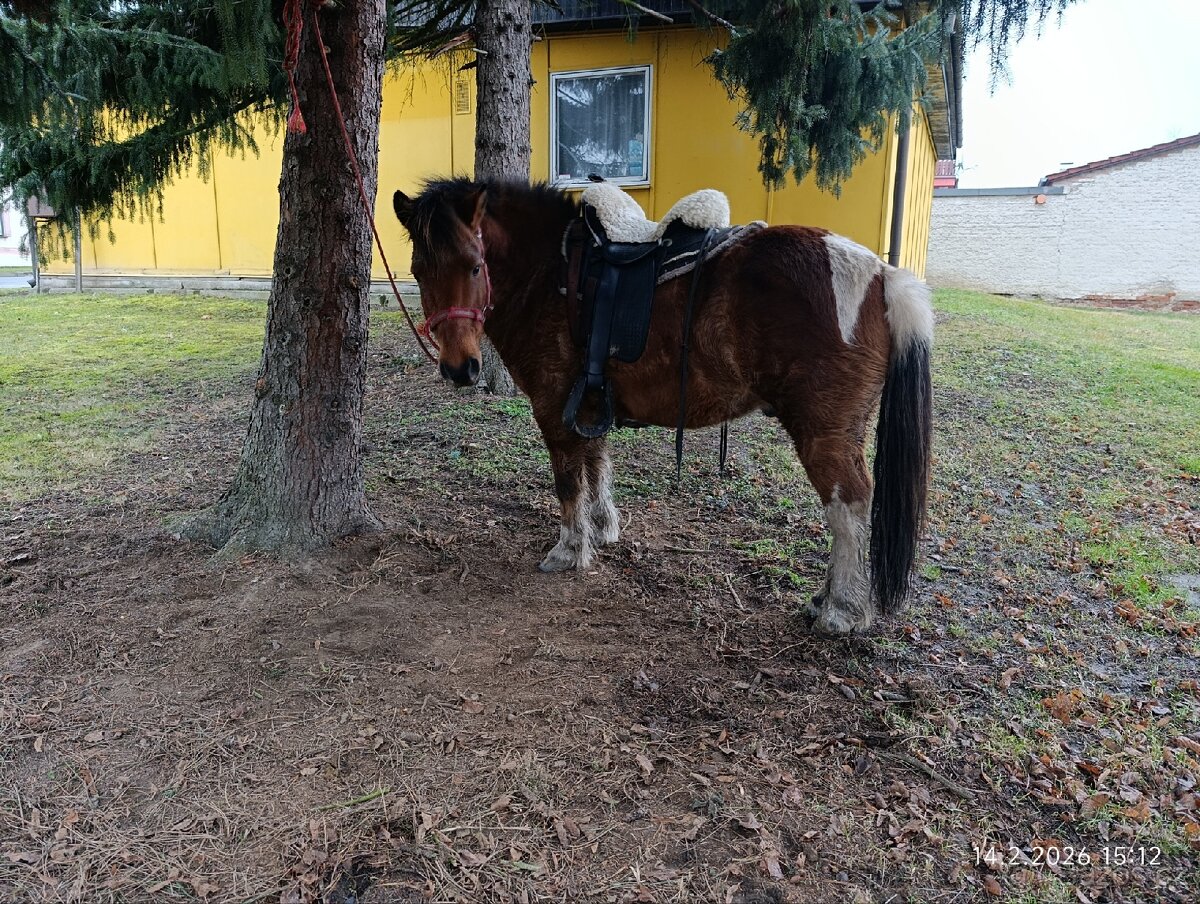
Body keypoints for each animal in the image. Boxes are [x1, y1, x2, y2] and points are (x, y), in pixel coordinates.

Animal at [391, 178, 933, 635]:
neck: (553, 275)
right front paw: (603, 528)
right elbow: (596, 465)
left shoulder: (553, 408)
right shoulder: (589, 405)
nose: (460, 368)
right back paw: (826, 599)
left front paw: (569, 549)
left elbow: (568, 483)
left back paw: (841, 609)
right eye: (418, 271)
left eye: (474, 265)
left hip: (825, 432)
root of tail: (881, 273)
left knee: (848, 507)